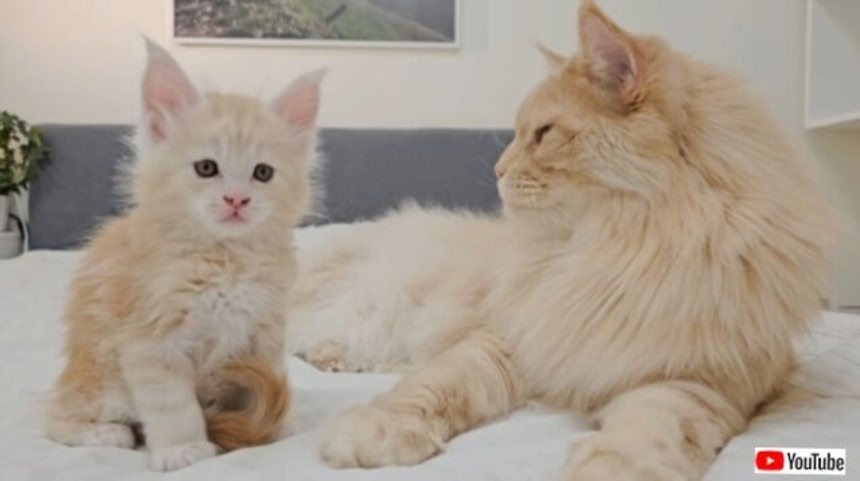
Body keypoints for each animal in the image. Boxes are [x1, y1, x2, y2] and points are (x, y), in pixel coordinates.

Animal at [42, 39, 324, 471]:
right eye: (207, 168)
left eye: (262, 173)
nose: (236, 199)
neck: (225, 260)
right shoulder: (150, 341)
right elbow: (173, 405)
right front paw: (183, 449)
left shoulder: (263, 335)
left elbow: (264, 385)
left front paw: (274, 427)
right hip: (101, 377)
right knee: (54, 415)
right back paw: (106, 432)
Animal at [307, 2, 840, 480]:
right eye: (519, 133)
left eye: (542, 134)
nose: (497, 170)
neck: (617, 251)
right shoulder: (509, 339)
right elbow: (434, 385)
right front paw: (376, 428)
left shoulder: (697, 377)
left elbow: (653, 426)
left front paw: (617, 468)